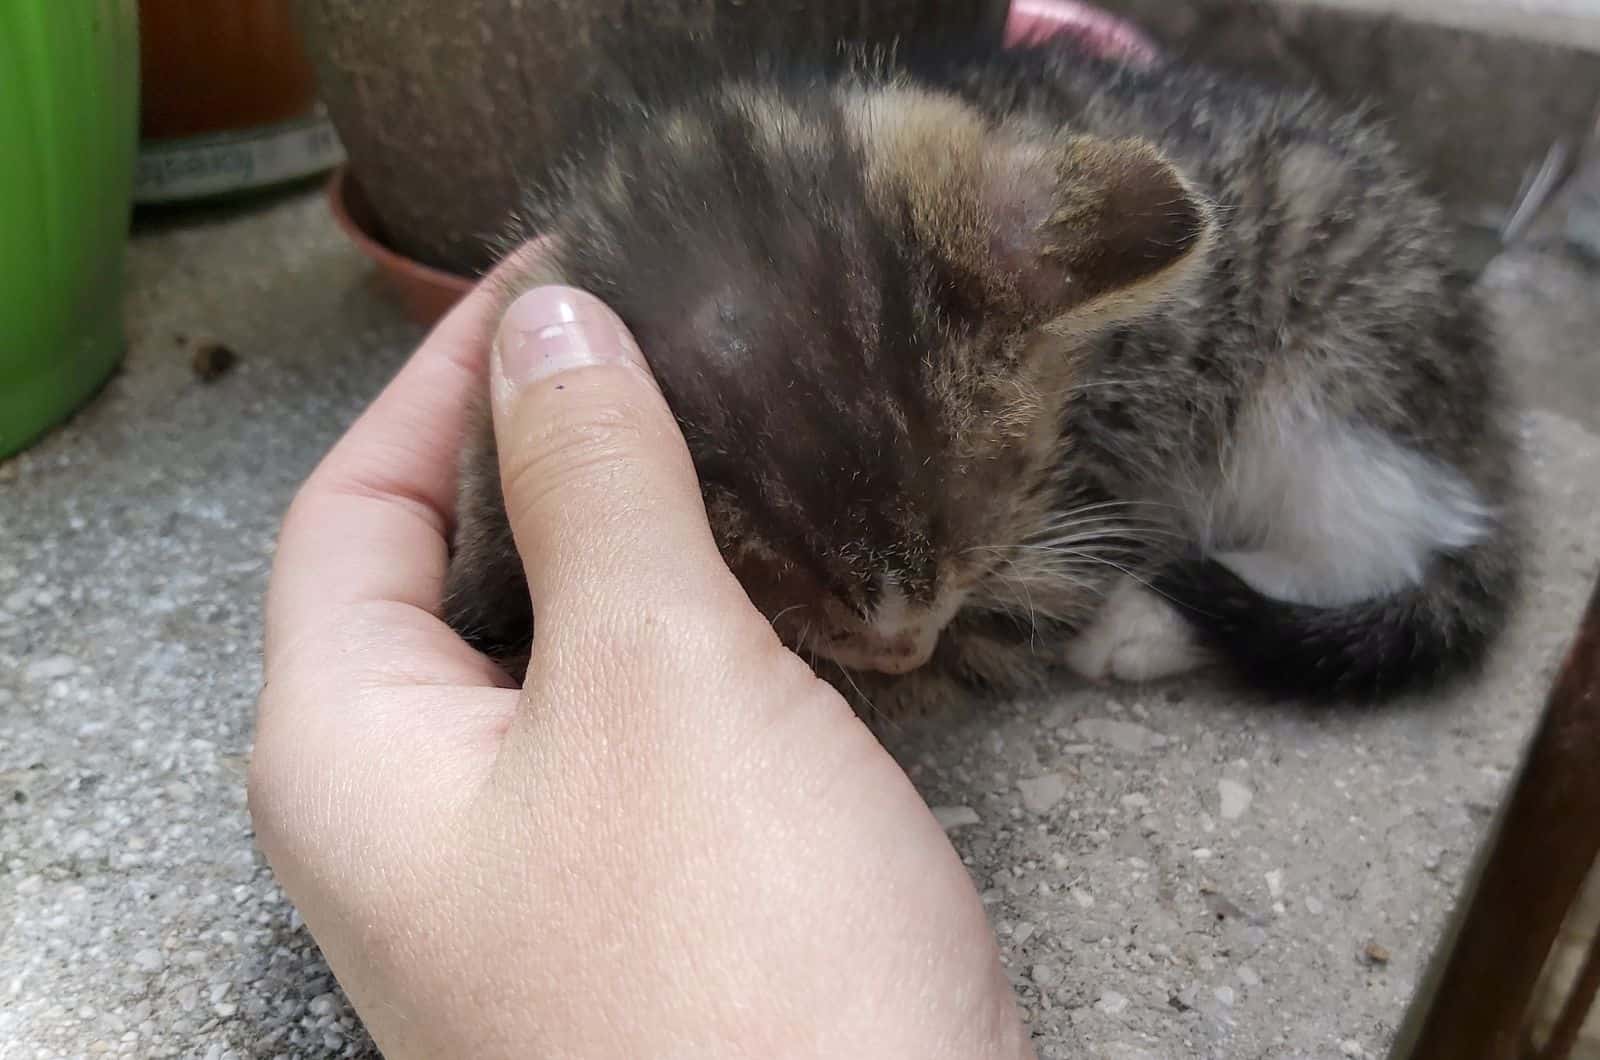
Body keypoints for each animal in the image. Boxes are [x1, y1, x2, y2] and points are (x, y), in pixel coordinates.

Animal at [441, 37, 1523, 717]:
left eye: (983, 534)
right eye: (764, 579)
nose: (908, 644)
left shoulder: (1083, 505)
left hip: (1328, 366)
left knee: (1378, 532)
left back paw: (1143, 622)